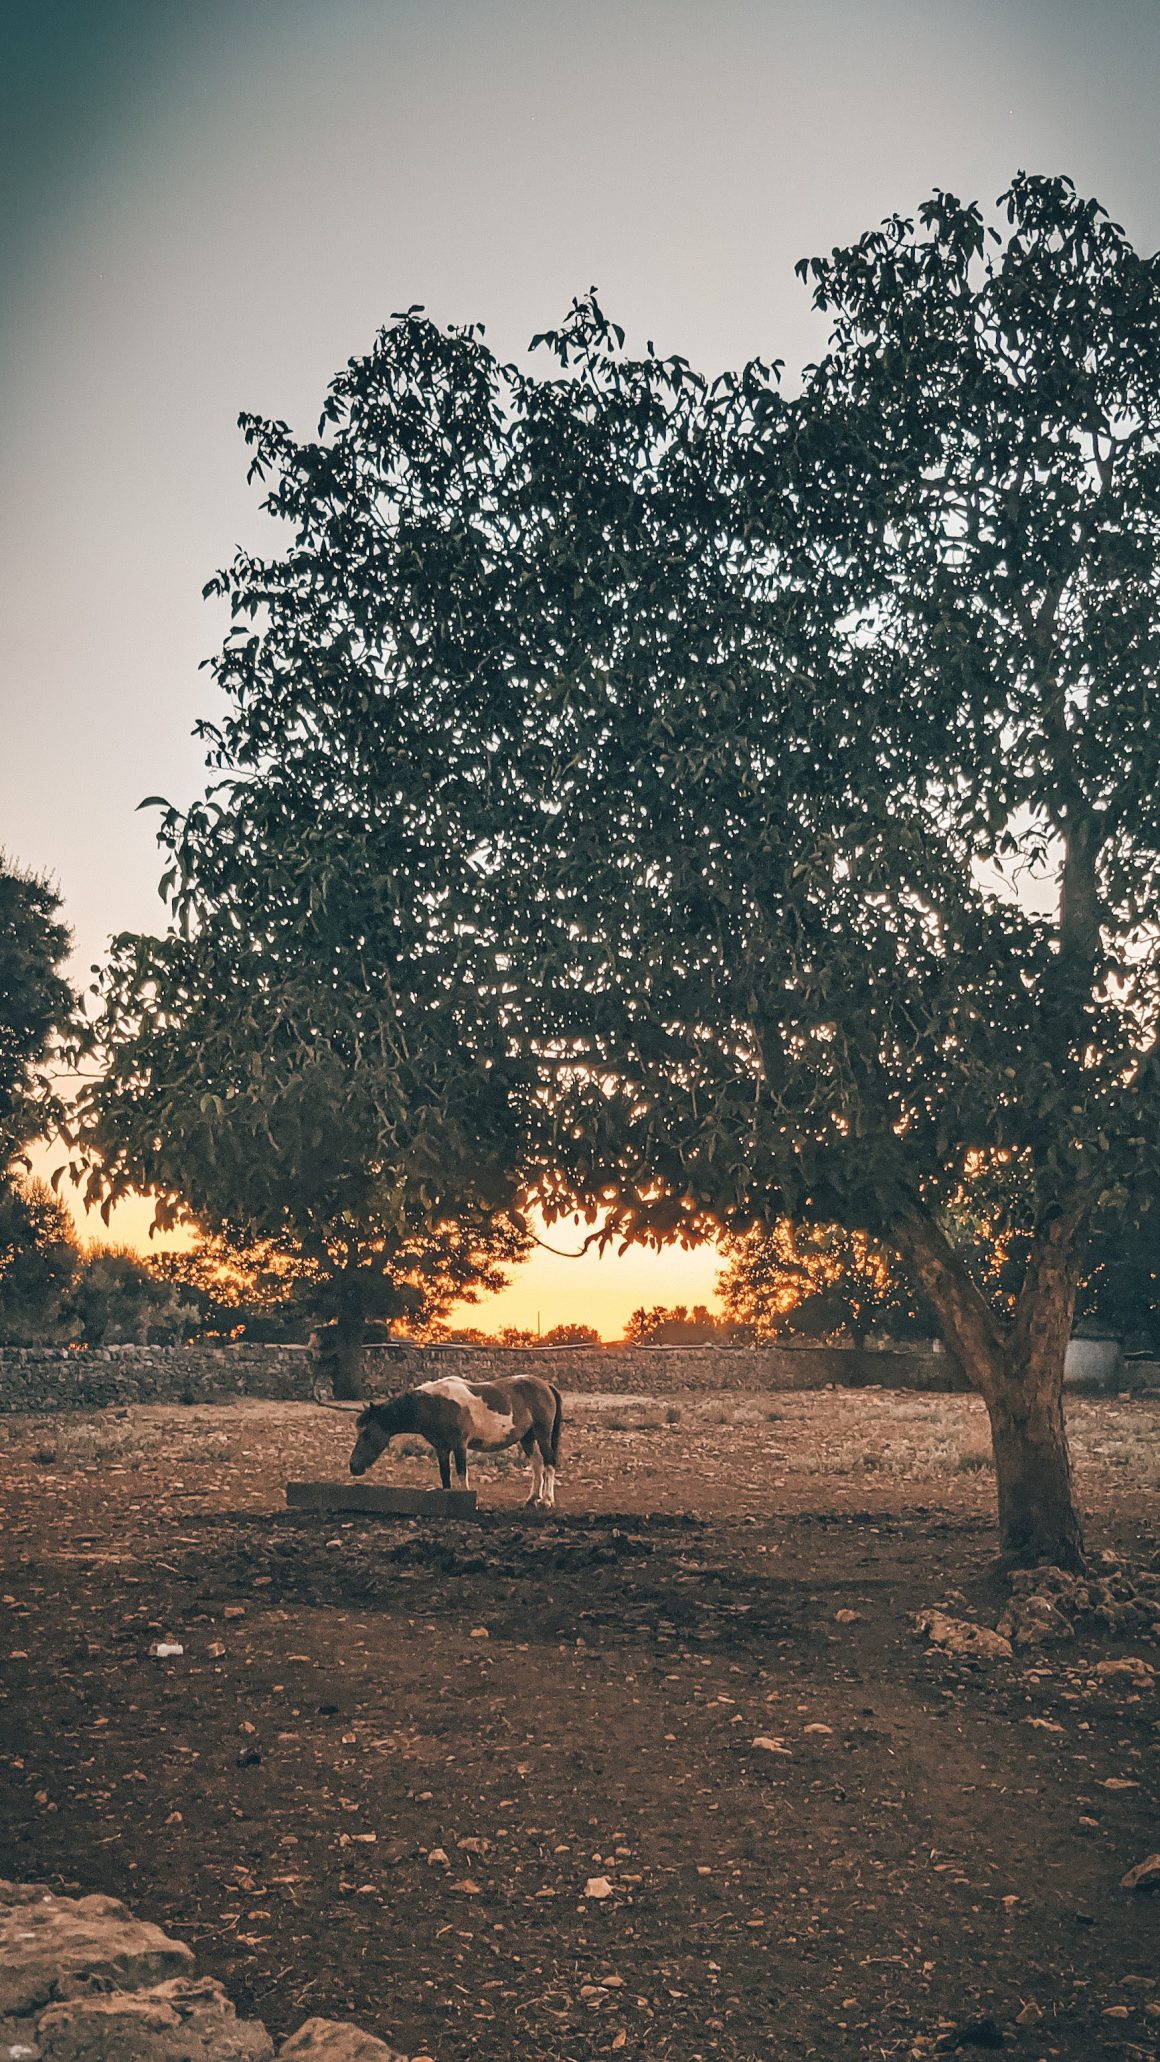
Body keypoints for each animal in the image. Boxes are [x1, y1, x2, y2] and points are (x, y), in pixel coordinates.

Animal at [344, 1377, 564, 1509]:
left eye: (367, 1434)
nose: (353, 1466)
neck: (435, 1405)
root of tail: (546, 1386)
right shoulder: (441, 1448)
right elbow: (446, 1477)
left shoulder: (460, 1445)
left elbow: (461, 1474)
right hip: (527, 1437)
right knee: (537, 1464)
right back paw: (532, 1498)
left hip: (542, 1433)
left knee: (549, 1463)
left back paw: (547, 1500)